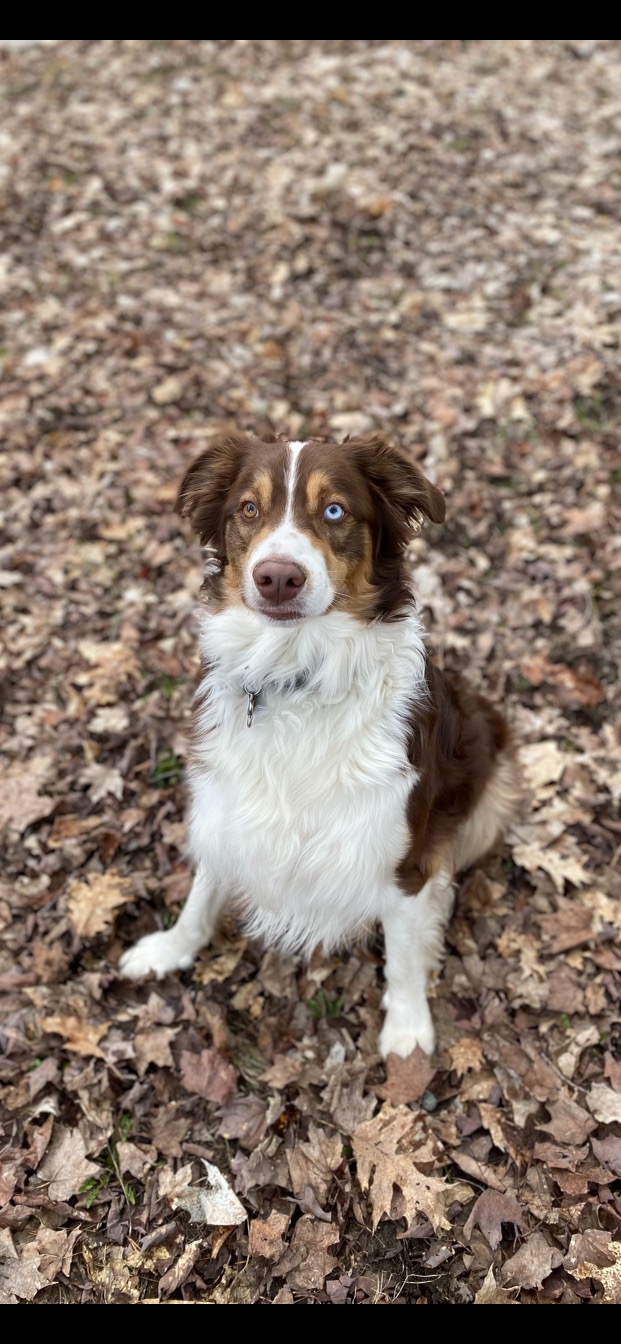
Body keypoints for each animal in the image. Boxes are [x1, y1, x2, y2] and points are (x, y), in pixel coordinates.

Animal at [119, 433, 521, 1057]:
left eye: (334, 510)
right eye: (248, 509)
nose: (278, 577)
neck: (296, 680)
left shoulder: (404, 857)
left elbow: (404, 955)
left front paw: (407, 1030)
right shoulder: (226, 806)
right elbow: (203, 890)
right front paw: (171, 948)